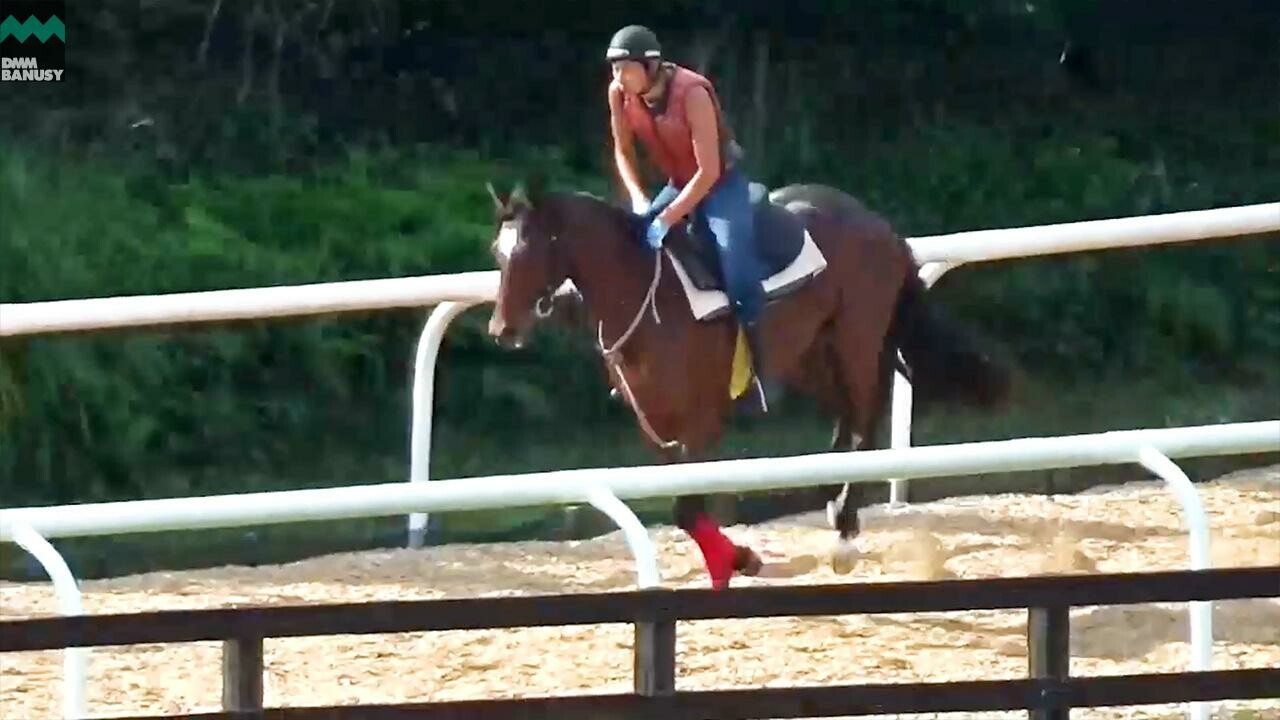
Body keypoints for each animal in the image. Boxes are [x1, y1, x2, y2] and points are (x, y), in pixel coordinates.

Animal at [481, 176, 1008, 586]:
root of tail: (879, 225)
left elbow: (687, 509)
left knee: (864, 424)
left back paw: (844, 533)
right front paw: (733, 560)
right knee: (845, 422)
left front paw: (738, 559)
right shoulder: (655, 426)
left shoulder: (700, 421)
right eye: (498, 252)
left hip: (855, 341)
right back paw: (830, 501)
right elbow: (686, 509)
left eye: (530, 249)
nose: (502, 329)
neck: (645, 295)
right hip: (810, 356)